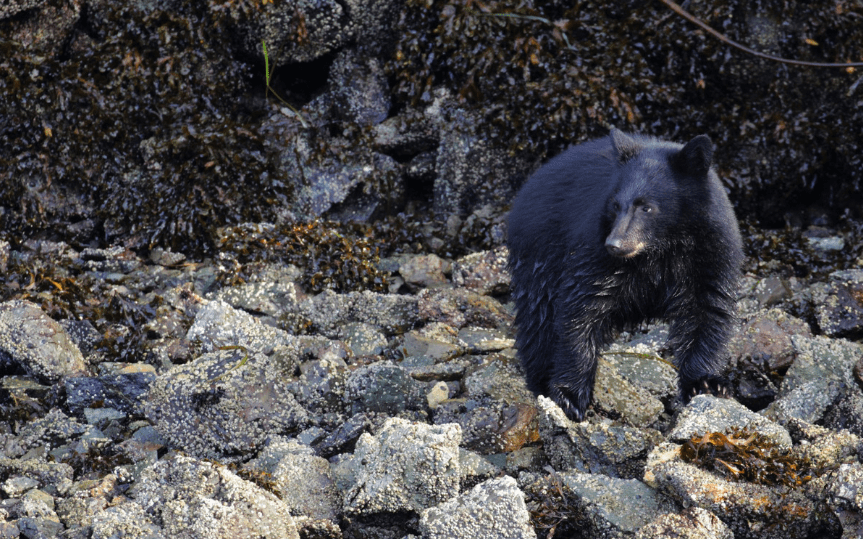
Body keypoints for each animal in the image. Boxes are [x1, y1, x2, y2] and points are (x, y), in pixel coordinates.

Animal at [506, 129, 744, 420]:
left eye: (647, 207)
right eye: (615, 205)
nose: (614, 245)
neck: (662, 248)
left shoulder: (711, 253)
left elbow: (708, 311)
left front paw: (707, 383)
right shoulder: (595, 250)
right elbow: (582, 308)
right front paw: (570, 395)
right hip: (539, 253)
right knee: (538, 316)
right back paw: (539, 379)